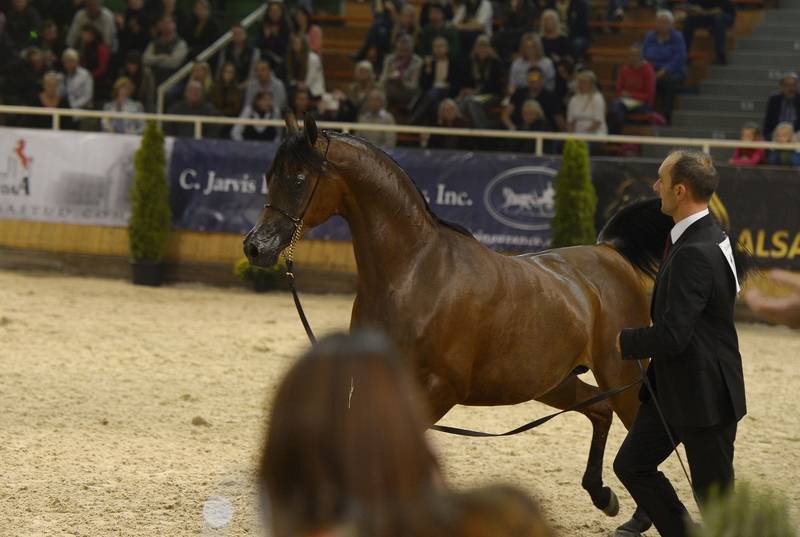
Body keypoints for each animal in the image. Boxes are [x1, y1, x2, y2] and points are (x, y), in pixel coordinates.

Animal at [244, 113, 674, 521]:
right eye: (269, 176)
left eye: (298, 178)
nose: (255, 247)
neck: (416, 273)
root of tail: (608, 252)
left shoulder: (440, 389)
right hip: (555, 383)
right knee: (600, 411)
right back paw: (604, 497)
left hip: (622, 376)